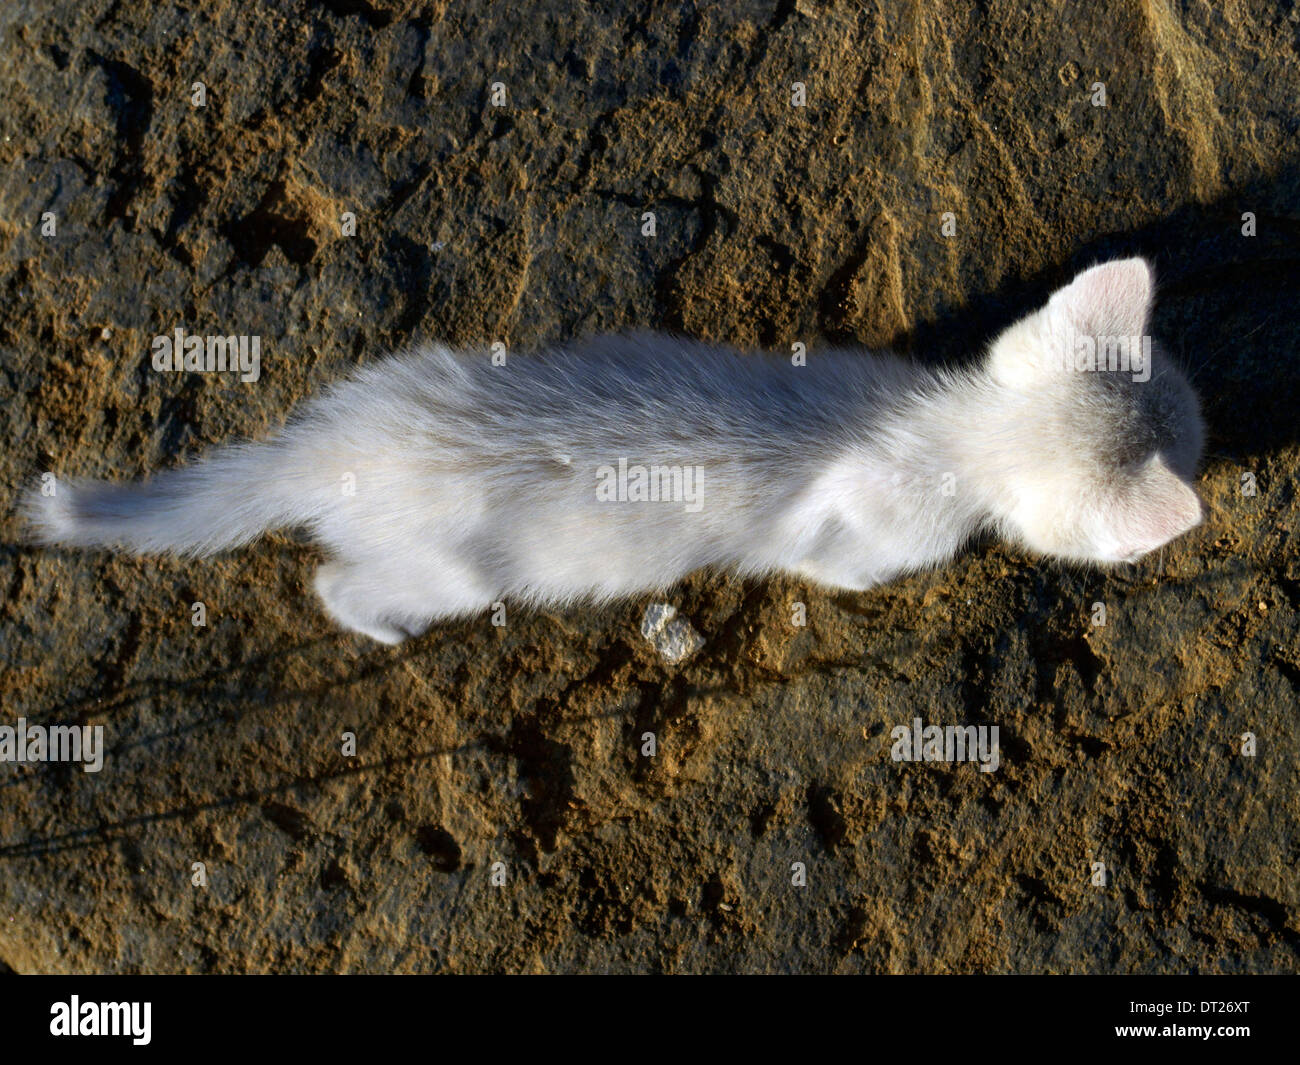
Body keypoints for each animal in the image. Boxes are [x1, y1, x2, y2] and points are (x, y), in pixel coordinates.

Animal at [22, 258, 1196, 644]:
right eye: (1195, 434)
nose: (1208, 414)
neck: (930, 425)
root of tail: (333, 444)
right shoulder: (856, 537)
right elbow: (833, 564)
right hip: (451, 573)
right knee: (333, 584)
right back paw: (384, 629)